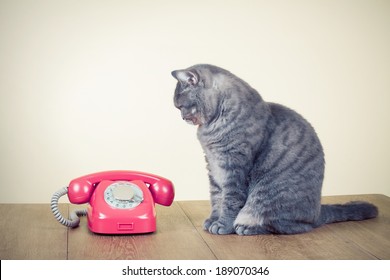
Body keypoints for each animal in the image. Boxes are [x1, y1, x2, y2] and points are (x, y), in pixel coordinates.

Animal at [171, 64, 378, 234]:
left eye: (181, 106)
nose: (182, 117)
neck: (212, 127)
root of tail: (319, 211)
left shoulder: (234, 168)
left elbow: (230, 200)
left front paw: (223, 225)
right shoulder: (213, 167)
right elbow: (216, 197)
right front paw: (213, 220)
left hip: (268, 198)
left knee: (292, 226)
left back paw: (247, 228)